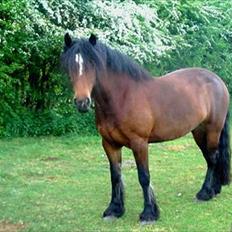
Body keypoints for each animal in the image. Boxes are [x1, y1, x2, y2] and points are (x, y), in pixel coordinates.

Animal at [60, 33, 231, 224]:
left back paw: (205, 193)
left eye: (92, 63)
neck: (122, 97)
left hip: (213, 130)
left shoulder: (139, 143)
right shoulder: (109, 144)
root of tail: (217, 80)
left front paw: (149, 213)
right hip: (199, 132)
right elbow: (115, 176)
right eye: (70, 65)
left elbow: (144, 177)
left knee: (213, 158)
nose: (82, 102)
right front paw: (114, 209)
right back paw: (214, 189)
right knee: (210, 158)